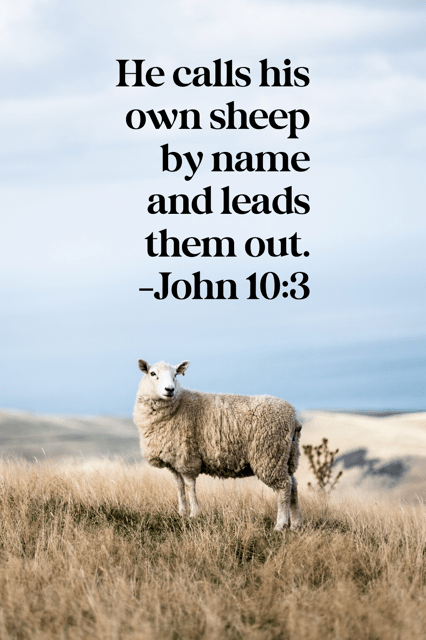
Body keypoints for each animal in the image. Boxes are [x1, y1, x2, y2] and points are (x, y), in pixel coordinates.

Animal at [133, 359, 303, 531]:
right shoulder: (174, 461)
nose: (170, 389)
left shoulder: (187, 458)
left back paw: (280, 525)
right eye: (152, 373)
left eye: (175, 374)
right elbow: (179, 487)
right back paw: (296, 524)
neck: (178, 405)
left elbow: (189, 486)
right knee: (293, 485)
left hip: (270, 455)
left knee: (284, 487)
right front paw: (182, 513)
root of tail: (293, 416)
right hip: (287, 456)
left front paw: (194, 513)